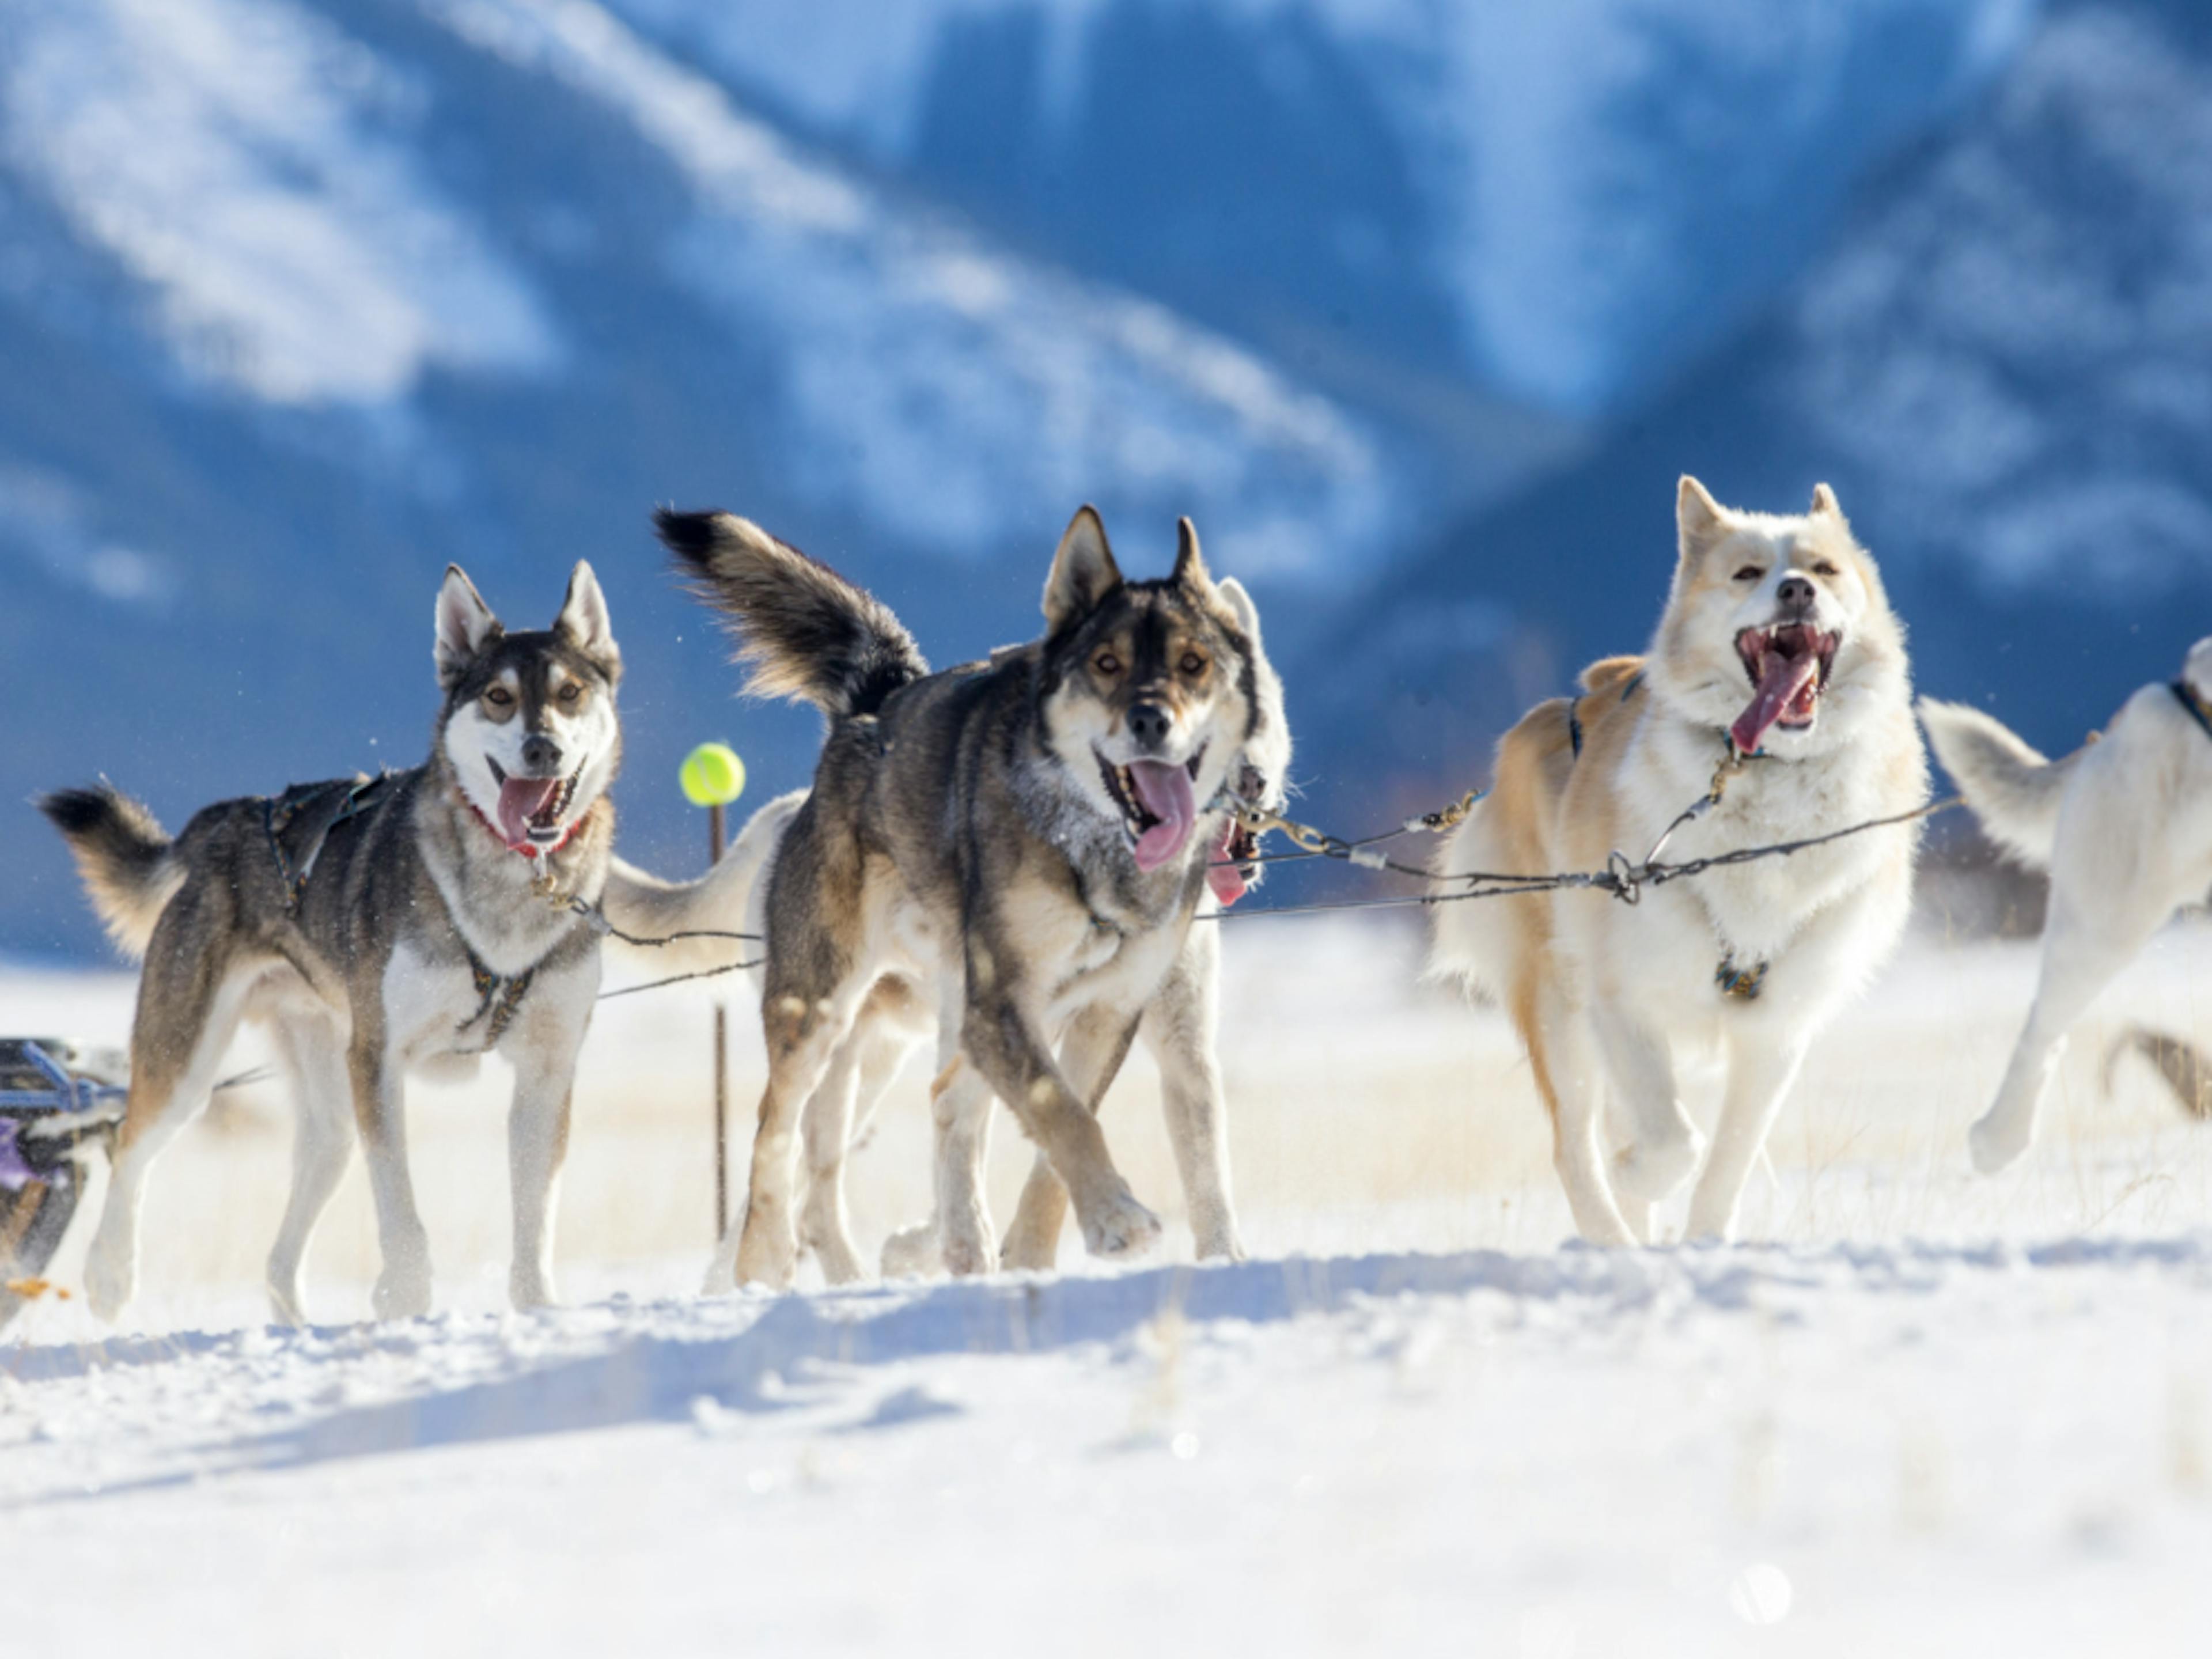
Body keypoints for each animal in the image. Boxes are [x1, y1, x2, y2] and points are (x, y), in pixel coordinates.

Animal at [41, 570, 623, 1327]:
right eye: (499, 698)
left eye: (569, 693)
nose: (543, 748)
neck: (512, 887)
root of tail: (222, 821)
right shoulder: (379, 1059)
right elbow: (400, 1207)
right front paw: (406, 1301)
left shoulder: (547, 1070)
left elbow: (535, 1212)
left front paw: (537, 1305)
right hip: (189, 1065)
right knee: (131, 1147)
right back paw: (111, 1276)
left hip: (331, 1114)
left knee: (282, 1245)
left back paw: (295, 1321)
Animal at [646, 506, 1274, 1283]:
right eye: (1107, 664)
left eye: (1193, 664)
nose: (1151, 721)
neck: (1094, 846)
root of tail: (876, 705)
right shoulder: (1002, 1001)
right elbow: (1061, 1112)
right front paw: (1116, 1219)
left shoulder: (1108, 1010)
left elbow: (1062, 1131)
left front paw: (1051, 1246)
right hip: (824, 1008)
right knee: (776, 1131)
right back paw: (763, 1264)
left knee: (946, 1100)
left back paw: (967, 1249)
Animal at [1424, 473, 1929, 1238]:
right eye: (1748, 573)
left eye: (1824, 569)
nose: (1797, 591)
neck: (1765, 783)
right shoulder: (1622, 1003)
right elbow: (1670, 1144)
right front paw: (1639, 1170)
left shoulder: (1777, 1030)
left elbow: (1726, 1162)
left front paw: (1704, 1242)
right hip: (1559, 1007)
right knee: (1575, 1152)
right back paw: (1615, 1240)